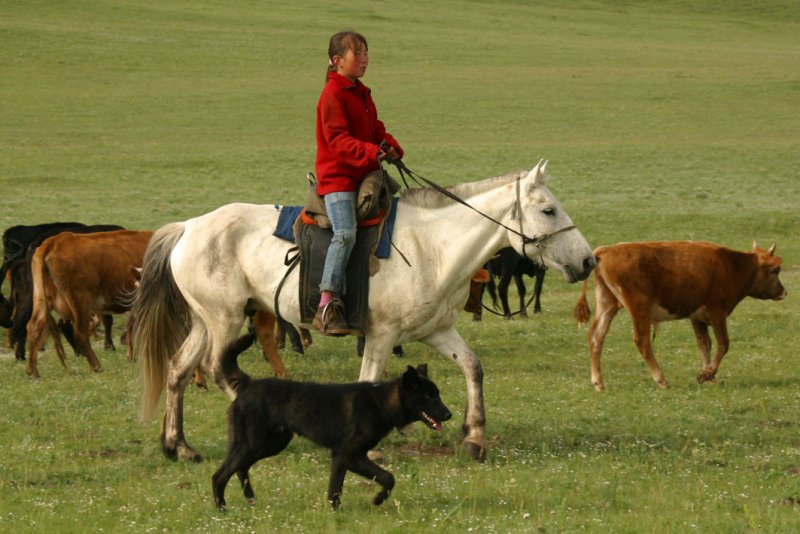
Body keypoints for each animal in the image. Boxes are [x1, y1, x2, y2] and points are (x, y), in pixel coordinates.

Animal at [27, 232, 153, 378]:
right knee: (80, 333)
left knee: (34, 326)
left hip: (42, 297)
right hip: (80, 300)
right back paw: (96, 366)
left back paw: (33, 372)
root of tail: (56, 240)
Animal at [134, 160, 592, 464]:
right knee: (217, 370)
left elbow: (473, 368)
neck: (432, 247)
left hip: (205, 321)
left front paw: (475, 437)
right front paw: (367, 446)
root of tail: (188, 227)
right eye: (548, 210)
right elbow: (368, 381)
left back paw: (178, 446)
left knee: (178, 370)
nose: (587, 261)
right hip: (225, 321)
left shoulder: (436, 331)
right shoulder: (381, 335)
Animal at [211, 332, 450, 512]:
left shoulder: (340, 457)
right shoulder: (349, 454)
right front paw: (378, 499)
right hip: (254, 443)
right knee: (219, 475)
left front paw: (336, 512)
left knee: (241, 469)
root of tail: (248, 384)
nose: (449, 415)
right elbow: (387, 477)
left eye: (437, 394)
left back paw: (250, 499)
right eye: (428, 396)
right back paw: (221, 508)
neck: (380, 402)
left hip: (270, 444)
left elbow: (335, 488)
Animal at [576, 243, 788, 394]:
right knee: (642, 341)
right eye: (775, 270)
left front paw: (707, 375)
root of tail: (605, 251)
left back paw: (598, 383)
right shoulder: (717, 311)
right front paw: (708, 373)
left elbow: (704, 344)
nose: (783, 292)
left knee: (596, 336)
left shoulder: (697, 317)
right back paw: (661, 380)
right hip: (639, 308)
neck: (731, 265)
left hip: (607, 304)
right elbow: (723, 343)